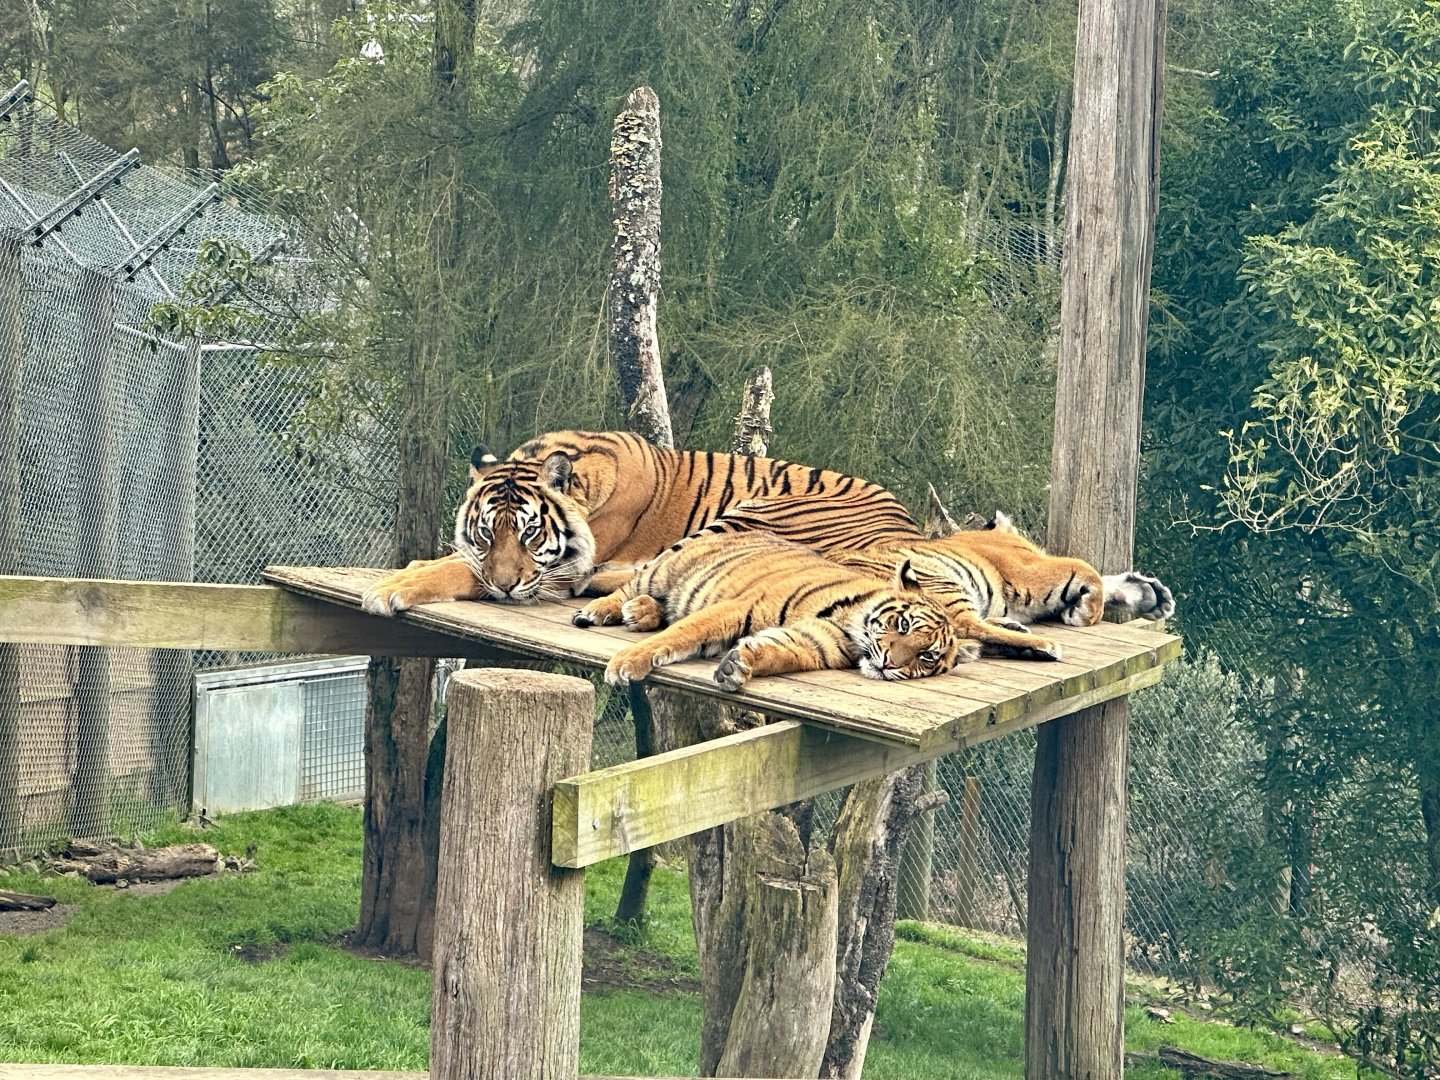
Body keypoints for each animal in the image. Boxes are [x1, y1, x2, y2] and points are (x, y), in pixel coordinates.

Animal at [360, 429, 920, 615]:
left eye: (530, 534)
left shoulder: (553, 570)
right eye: (485, 533)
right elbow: (459, 559)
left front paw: (392, 587)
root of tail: (907, 528)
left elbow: (460, 570)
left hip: (757, 512)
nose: (504, 588)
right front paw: (413, 567)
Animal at [570, 530, 980, 690]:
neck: (850, 628)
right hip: (663, 569)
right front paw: (626, 664)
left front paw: (739, 666)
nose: (891, 664)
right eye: (904, 624)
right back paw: (599, 611)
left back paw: (639, 613)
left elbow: (778, 653)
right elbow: (682, 633)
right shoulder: (736, 607)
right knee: (630, 586)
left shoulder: (810, 643)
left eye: (927, 656)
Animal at [831, 510, 1176, 662]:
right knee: (964, 624)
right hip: (941, 580)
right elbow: (1086, 568)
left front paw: (1152, 594)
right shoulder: (1031, 567)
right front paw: (1083, 612)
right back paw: (1042, 645)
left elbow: (1101, 577)